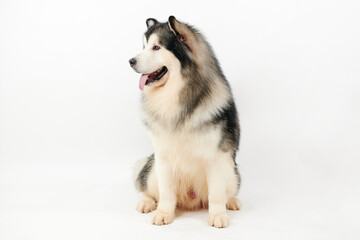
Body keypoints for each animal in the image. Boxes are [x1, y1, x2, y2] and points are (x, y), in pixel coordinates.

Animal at [129, 15, 242, 228]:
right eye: (144, 46)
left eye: (156, 47)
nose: (131, 61)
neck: (176, 93)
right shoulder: (163, 155)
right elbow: (165, 192)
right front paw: (163, 213)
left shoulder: (216, 157)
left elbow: (216, 193)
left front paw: (218, 215)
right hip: (152, 168)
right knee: (148, 188)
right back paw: (146, 202)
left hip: (232, 172)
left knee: (226, 191)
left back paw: (231, 201)